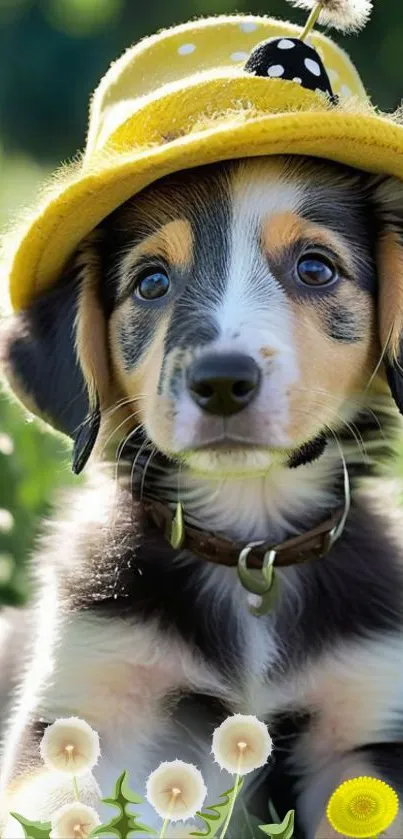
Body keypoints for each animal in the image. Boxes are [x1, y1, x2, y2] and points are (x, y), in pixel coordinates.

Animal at [2, 158, 403, 839]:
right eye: (151, 283)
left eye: (316, 268)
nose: (221, 381)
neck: (250, 549)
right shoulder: (82, 706)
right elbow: (69, 811)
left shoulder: (367, 725)